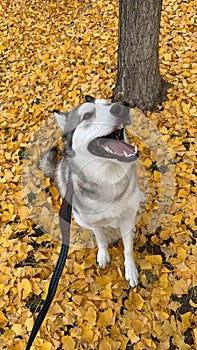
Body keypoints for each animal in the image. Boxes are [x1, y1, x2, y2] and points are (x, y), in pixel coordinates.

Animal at [40, 95, 145, 288]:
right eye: (87, 115)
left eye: (108, 104)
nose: (121, 107)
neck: (108, 178)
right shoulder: (93, 222)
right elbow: (100, 238)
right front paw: (103, 254)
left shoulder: (127, 218)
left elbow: (128, 249)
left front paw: (131, 270)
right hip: (78, 218)